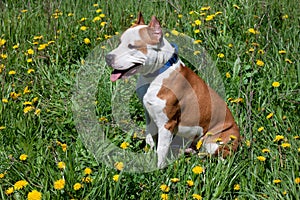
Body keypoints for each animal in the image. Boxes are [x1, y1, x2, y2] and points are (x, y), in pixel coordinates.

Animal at [105, 12, 239, 167]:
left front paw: (158, 169)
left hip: (215, 140)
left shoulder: (166, 124)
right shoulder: (149, 114)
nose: (107, 57)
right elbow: (150, 138)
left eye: (132, 46)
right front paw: (147, 156)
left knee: (217, 158)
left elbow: (161, 150)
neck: (155, 74)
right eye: (120, 42)